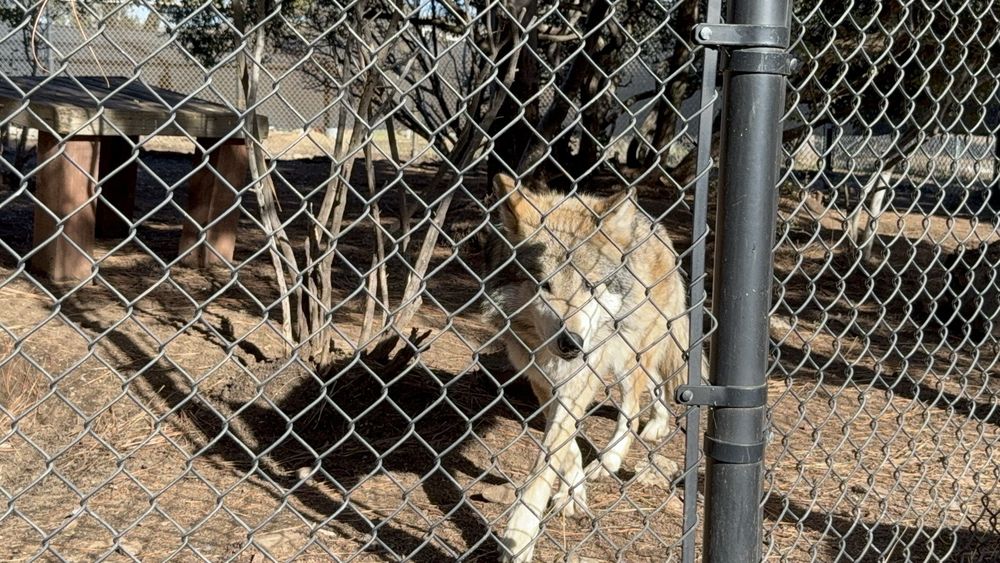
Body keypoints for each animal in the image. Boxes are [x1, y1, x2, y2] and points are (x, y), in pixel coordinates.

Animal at [481, 174, 706, 562]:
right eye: (544, 285)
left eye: (589, 285)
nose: (572, 343)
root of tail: (654, 226)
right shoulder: (543, 382)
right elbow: (567, 445)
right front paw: (572, 494)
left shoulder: (580, 378)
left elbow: (546, 463)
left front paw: (519, 536)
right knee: (656, 386)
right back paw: (657, 426)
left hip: (628, 354)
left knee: (632, 407)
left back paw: (609, 461)